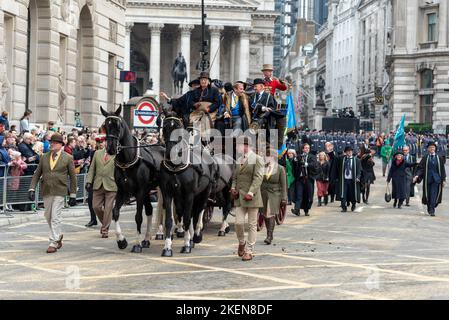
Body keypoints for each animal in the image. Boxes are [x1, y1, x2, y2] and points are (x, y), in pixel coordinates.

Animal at [100, 106, 165, 254]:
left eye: (118, 125)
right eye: (105, 126)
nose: (111, 149)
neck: (128, 160)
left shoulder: (139, 192)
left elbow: (138, 217)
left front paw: (136, 244)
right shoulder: (122, 191)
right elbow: (115, 212)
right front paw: (121, 241)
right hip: (148, 191)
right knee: (150, 211)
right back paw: (146, 239)